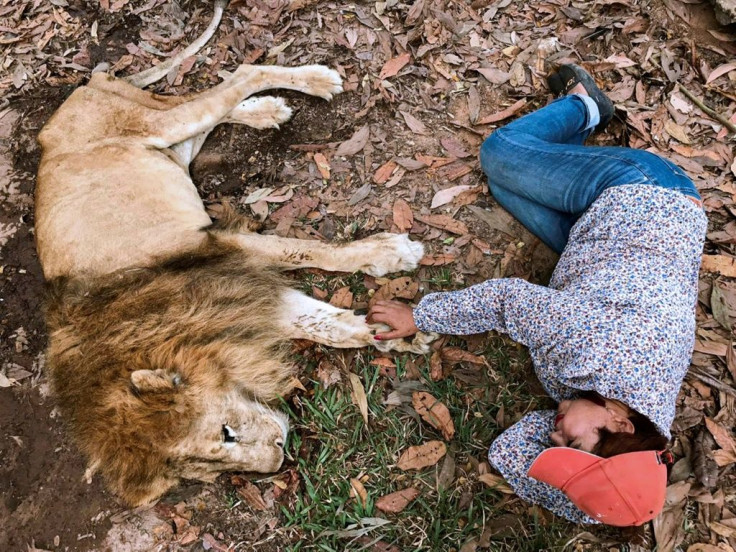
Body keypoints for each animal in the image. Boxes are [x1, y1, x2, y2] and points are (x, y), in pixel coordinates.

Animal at [34, 2, 434, 506]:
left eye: (225, 433)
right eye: (210, 473)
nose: (279, 460)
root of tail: (82, 89)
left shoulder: (217, 248)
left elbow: (306, 250)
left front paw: (390, 253)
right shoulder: (234, 298)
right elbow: (329, 326)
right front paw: (395, 333)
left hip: (156, 126)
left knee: (238, 77)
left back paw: (315, 81)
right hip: (170, 148)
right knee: (210, 109)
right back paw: (266, 112)